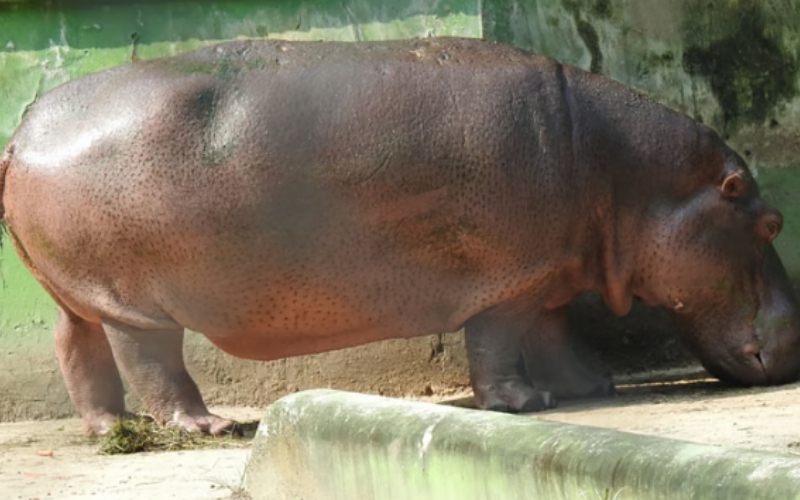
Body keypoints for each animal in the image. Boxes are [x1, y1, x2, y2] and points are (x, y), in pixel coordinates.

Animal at [1, 38, 799, 435]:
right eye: (772, 223)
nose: (796, 341)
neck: (630, 176)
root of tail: (25, 127)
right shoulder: (509, 279)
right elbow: (501, 342)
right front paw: (526, 405)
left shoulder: (549, 271)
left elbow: (554, 331)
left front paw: (588, 387)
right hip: (135, 302)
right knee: (151, 362)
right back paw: (208, 426)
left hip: (73, 293)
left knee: (78, 350)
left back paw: (107, 430)